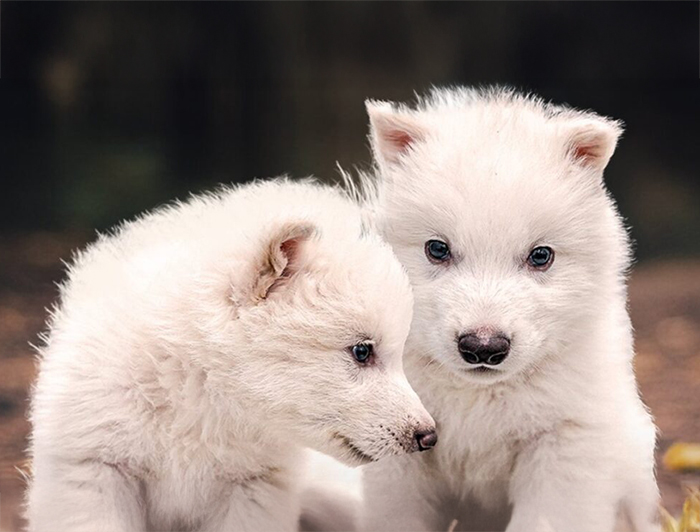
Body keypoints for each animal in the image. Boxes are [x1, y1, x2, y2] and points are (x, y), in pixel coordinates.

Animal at [356, 87, 660, 532]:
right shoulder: (398, 457)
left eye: (541, 256)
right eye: (437, 249)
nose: (483, 347)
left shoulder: (565, 444)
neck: (479, 396)